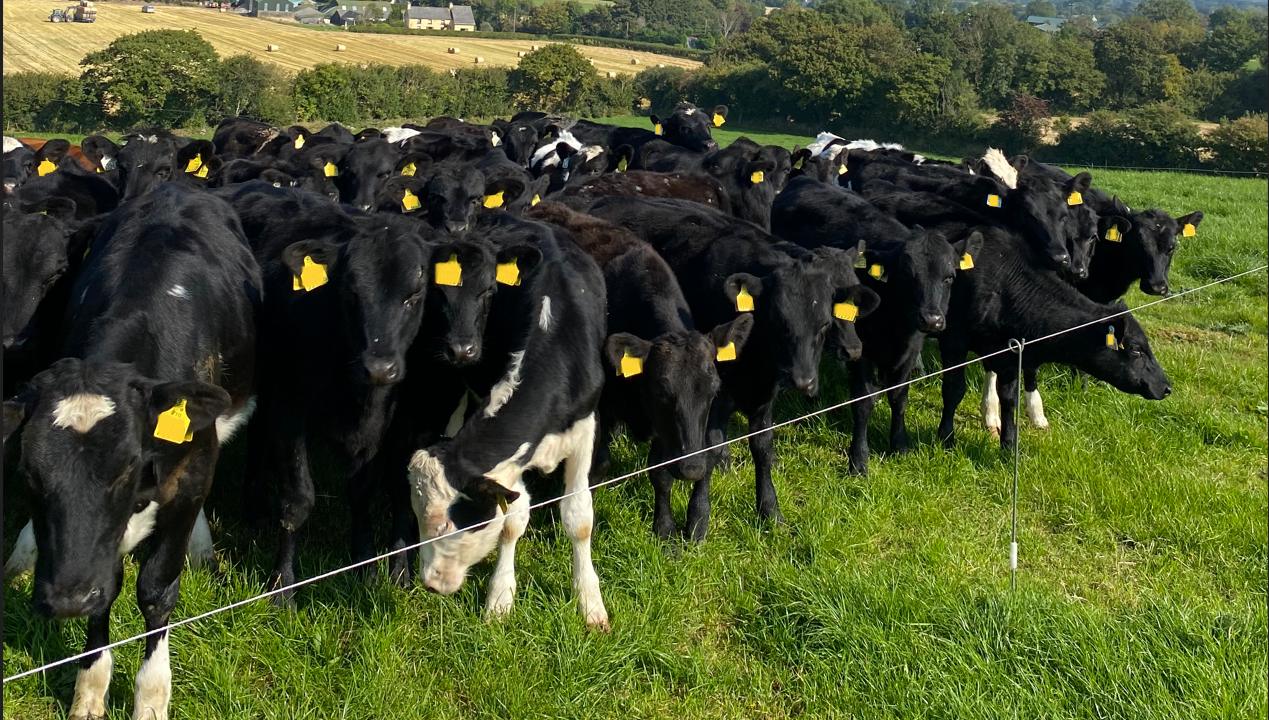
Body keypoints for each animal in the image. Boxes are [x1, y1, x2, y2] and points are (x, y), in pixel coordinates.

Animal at [2, 184, 259, 720]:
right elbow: (108, 587)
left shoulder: (192, 472)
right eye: (29, 475)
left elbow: (157, 589)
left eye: (125, 469)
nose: (67, 598)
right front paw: (90, 688)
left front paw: (151, 697)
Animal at [406, 210, 611, 629]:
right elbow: (513, 519)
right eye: (417, 515)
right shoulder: (511, 461)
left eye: (447, 523)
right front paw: (501, 596)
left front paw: (589, 601)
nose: (430, 583)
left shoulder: (585, 429)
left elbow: (579, 516)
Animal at [525, 201, 754, 540]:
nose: (692, 468)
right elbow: (598, 467)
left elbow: (659, 471)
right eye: (662, 391)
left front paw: (666, 531)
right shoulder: (603, 407)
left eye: (713, 389)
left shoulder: (663, 428)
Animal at [586, 197, 879, 527]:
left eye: (824, 323)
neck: (756, 361)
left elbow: (762, 446)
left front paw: (770, 509)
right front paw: (697, 521)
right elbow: (710, 448)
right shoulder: (716, 396)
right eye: (777, 320)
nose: (802, 380)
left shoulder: (764, 397)